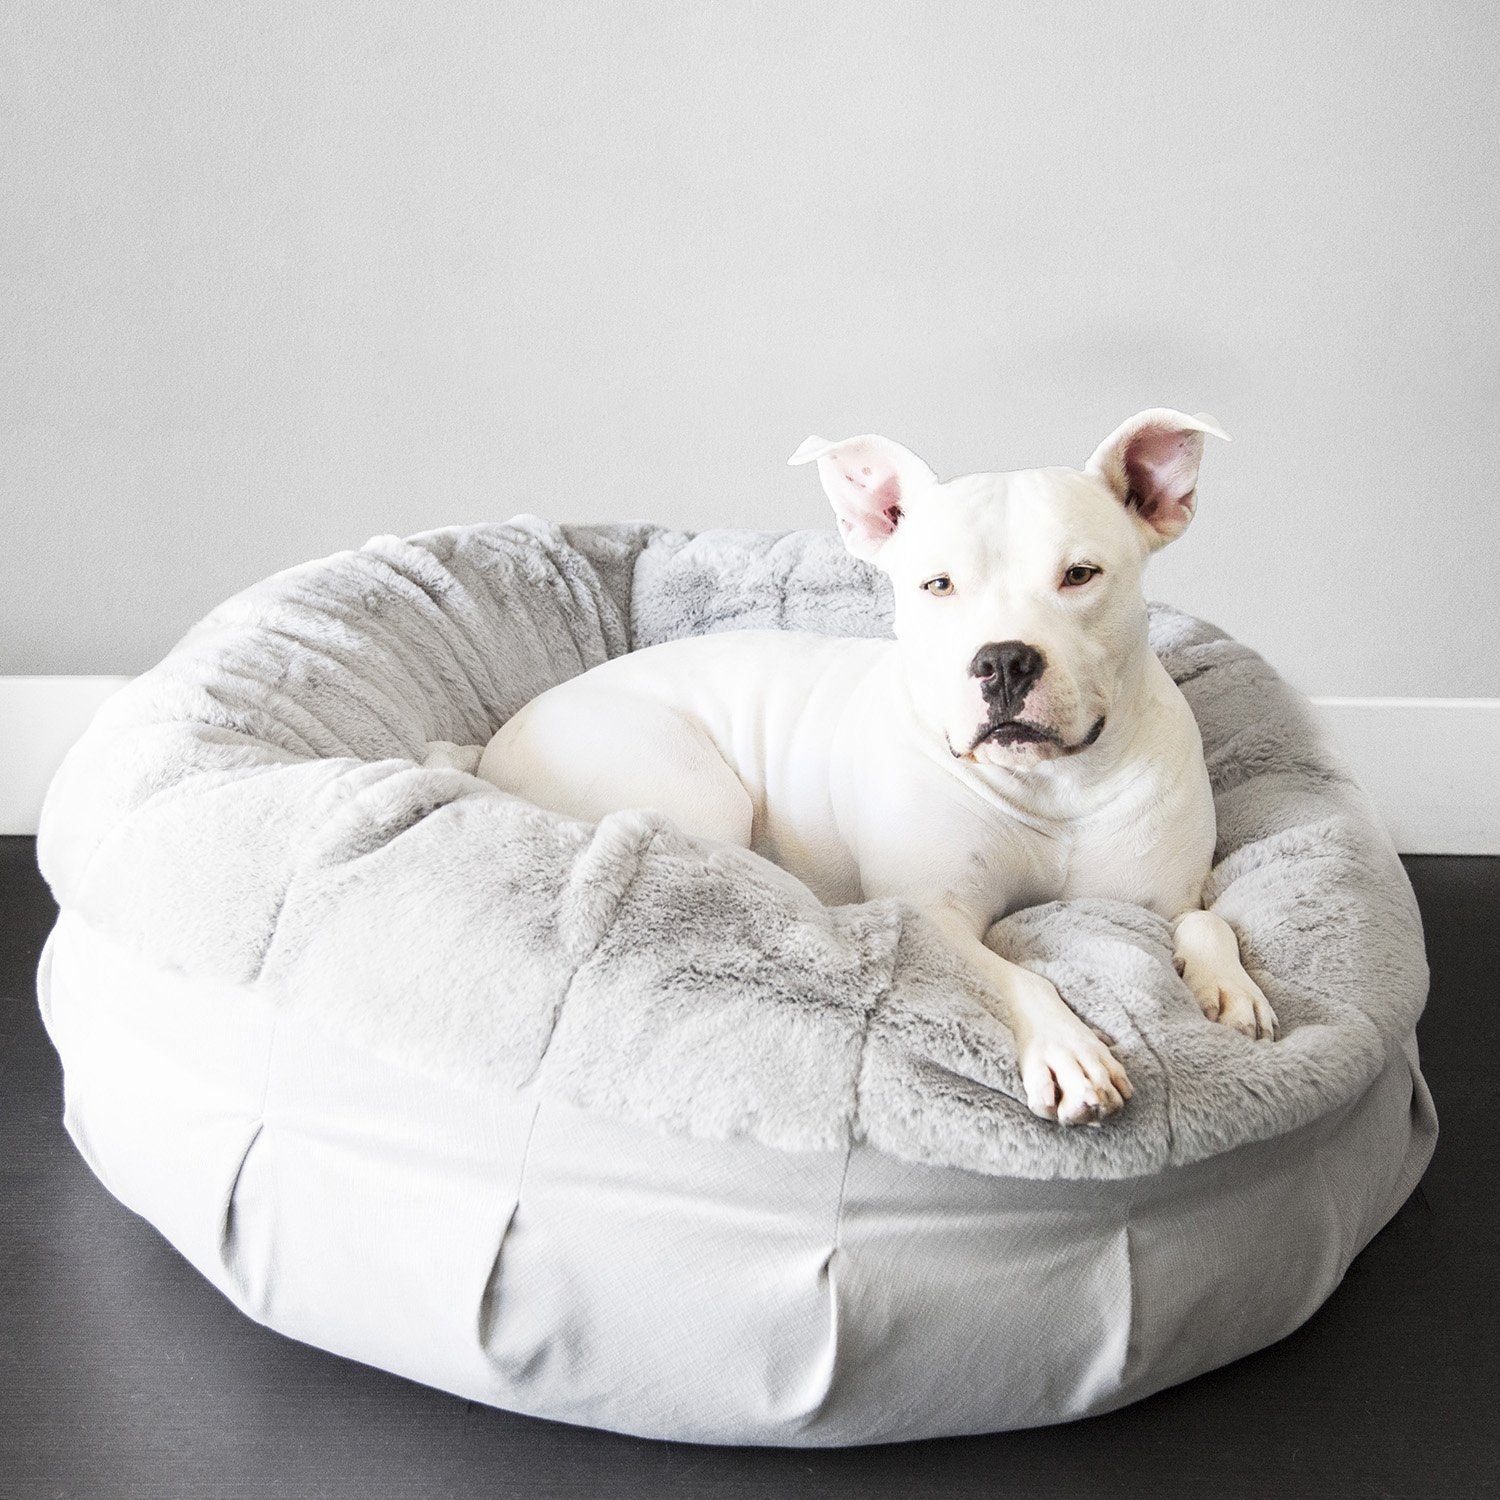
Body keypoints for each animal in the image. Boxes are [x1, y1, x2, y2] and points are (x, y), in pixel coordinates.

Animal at [480, 411, 1278, 1128]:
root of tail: (494, 741)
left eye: (1080, 575)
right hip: (698, 791)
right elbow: (1018, 977)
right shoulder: (938, 917)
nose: (1004, 660)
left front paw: (1230, 989)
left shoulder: (1161, 896)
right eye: (938, 585)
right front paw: (1068, 1051)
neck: (1052, 784)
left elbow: (1208, 919)